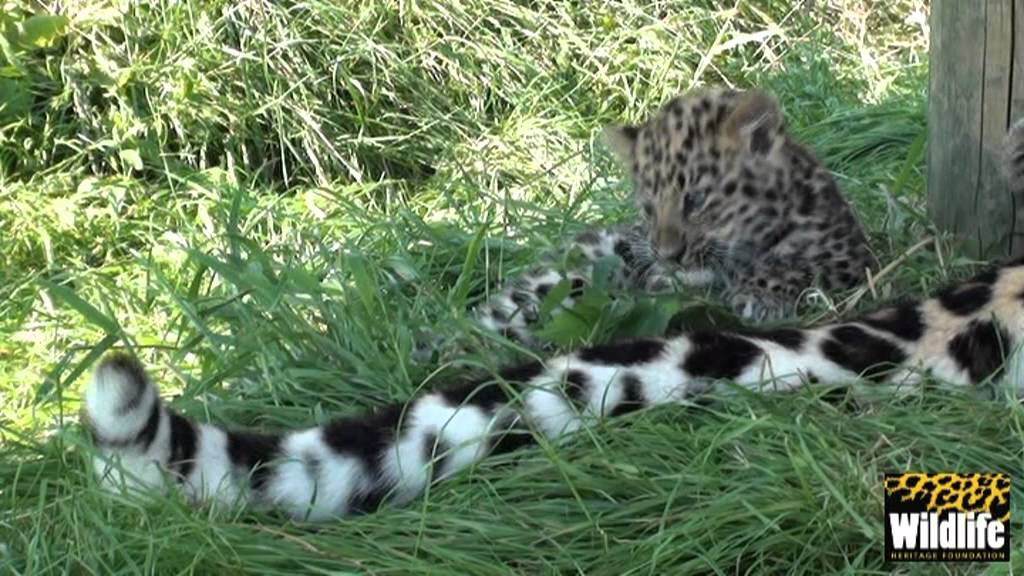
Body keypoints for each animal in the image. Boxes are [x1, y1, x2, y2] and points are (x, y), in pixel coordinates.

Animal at [474, 87, 878, 347]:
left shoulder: (851, 259)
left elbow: (796, 266)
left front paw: (760, 293)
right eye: (649, 207)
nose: (668, 256)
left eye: (694, 200)